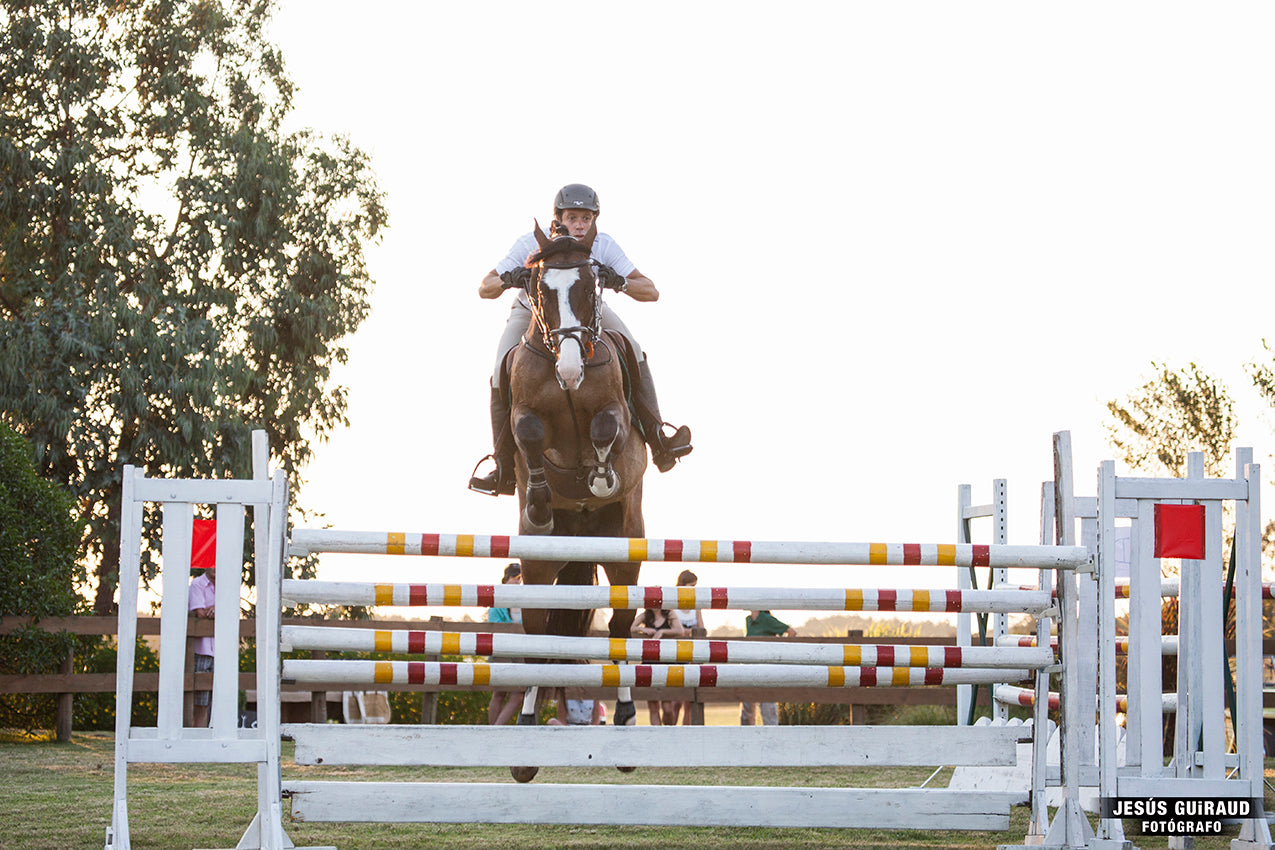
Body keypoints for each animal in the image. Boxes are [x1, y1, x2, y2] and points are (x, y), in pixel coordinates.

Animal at [507, 223, 647, 779]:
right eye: (542, 289)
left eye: (592, 285)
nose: (569, 369)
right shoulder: (522, 411)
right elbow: (527, 432)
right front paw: (541, 501)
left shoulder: (614, 411)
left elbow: (607, 427)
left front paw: (602, 477)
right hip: (539, 568)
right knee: (537, 641)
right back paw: (525, 737)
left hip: (626, 549)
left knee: (621, 631)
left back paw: (627, 721)